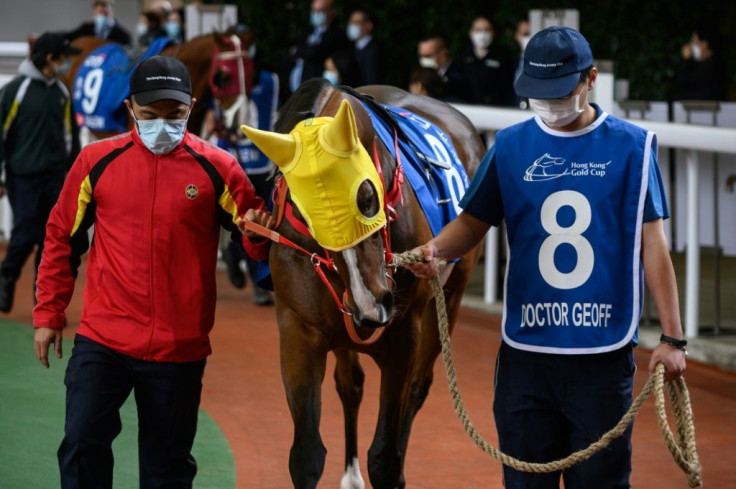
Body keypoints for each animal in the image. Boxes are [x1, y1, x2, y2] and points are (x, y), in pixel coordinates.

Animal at [239, 78, 486, 486]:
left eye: (367, 197)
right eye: (304, 215)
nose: (372, 304)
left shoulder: (403, 334)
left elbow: (384, 458)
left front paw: (393, 468)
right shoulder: (298, 330)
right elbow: (306, 455)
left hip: (451, 291)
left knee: (417, 388)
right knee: (351, 384)